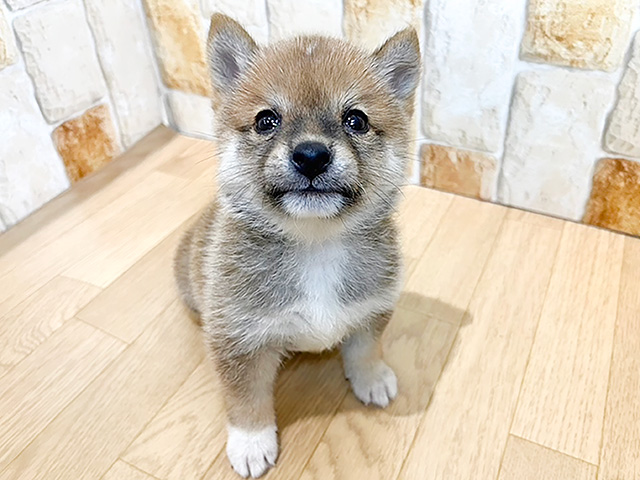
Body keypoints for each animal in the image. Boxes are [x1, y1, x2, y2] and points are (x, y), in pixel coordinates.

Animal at [174, 13, 420, 478]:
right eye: (266, 120)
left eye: (356, 120)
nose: (310, 155)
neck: (315, 245)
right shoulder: (239, 341)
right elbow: (246, 399)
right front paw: (251, 442)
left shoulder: (372, 308)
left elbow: (364, 349)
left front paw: (372, 378)